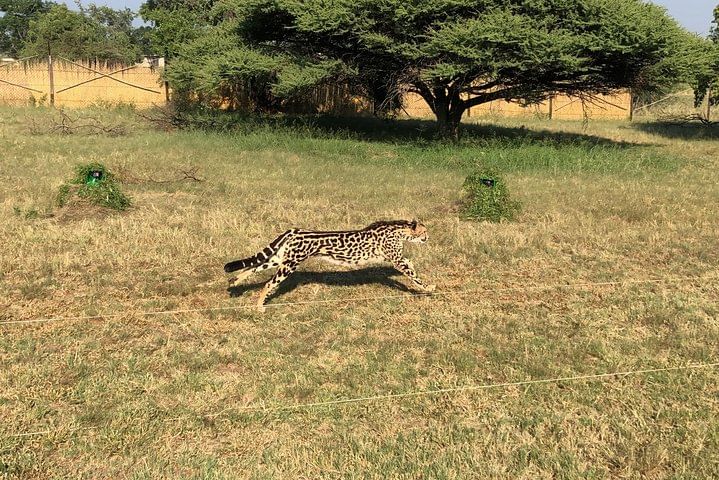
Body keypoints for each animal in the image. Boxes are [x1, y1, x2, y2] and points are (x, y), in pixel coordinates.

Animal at [224, 220, 435, 312]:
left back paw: (235, 282)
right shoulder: (396, 260)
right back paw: (259, 306)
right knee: (268, 283)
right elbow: (413, 276)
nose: (427, 238)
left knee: (251, 267)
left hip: (280, 259)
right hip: (289, 265)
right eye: (424, 231)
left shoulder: (393, 258)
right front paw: (429, 287)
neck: (399, 230)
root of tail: (295, 230)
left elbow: (410, 264)